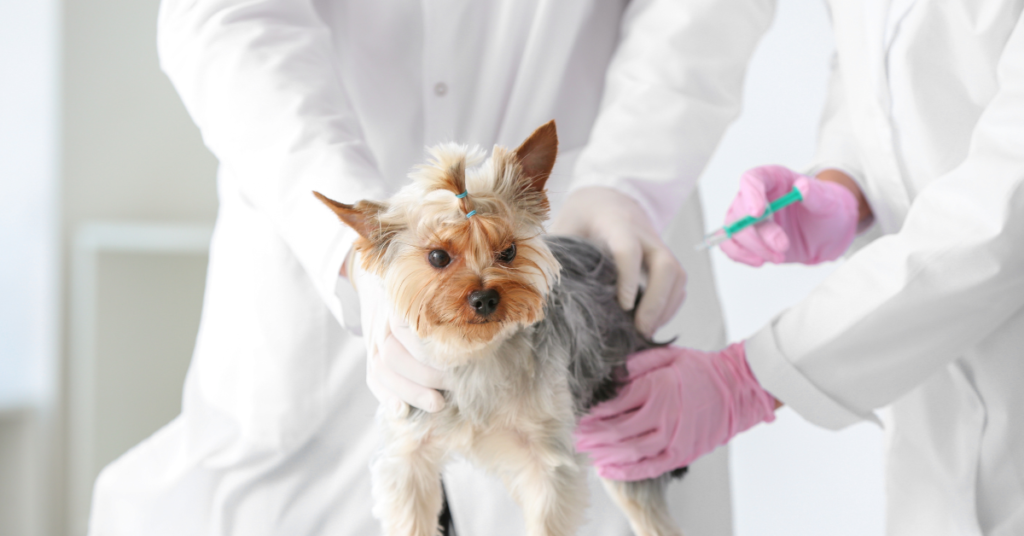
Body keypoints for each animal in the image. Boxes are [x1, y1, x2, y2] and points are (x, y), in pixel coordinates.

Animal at [315, 121, 684, 536]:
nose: (484, 299)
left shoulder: (547, 462)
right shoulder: (408, 451)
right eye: (438, 256)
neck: (477, 355)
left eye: (508, 251)